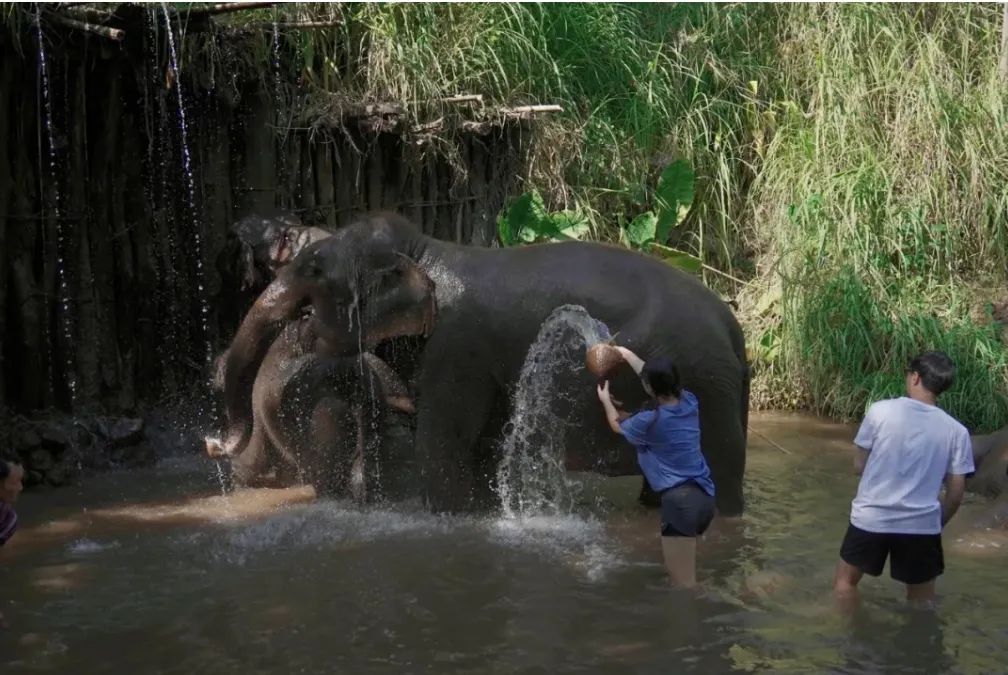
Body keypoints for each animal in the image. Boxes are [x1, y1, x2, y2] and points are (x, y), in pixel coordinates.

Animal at [216, 214, 745, 515]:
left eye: (313, 269)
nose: (214, 443)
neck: (428, 250)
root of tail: (735, 329)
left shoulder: (457, 346)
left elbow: (441, 446)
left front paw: (446, 516)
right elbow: (480, 450)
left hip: (708, 393)